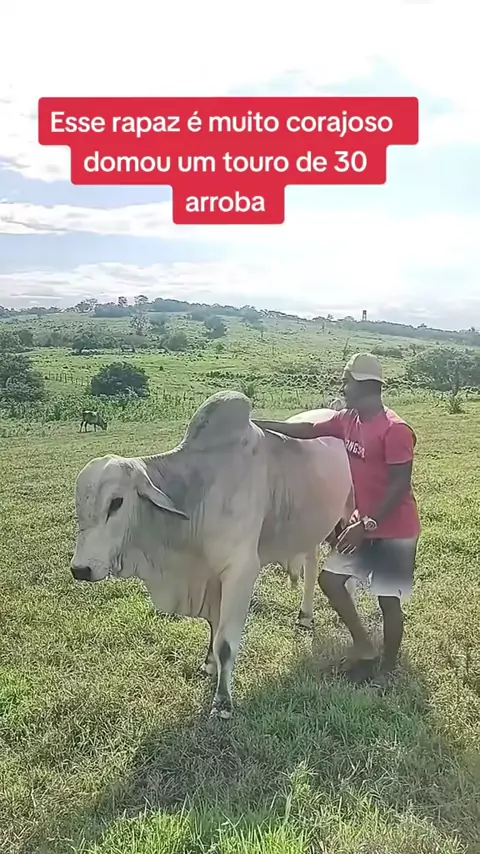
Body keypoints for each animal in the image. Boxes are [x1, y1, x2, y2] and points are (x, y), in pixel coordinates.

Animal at [70, 391, 353, 719]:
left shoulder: (240, 571)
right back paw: (305, 615)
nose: (80, 569)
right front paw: (208, 664)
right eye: (80, 507)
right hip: (309, 529)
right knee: (310, 562)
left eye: (116, 503)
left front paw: (222, 701)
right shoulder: (210, 577)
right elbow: (212, 627)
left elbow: (226, 643)